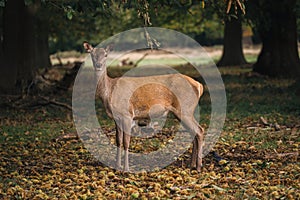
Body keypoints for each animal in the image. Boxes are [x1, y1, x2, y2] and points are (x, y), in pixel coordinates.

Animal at [83, 41, 205, 172]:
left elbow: (126, 142)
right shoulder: (117, 118)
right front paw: (117, 166)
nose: (98, 65)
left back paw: (198, 166)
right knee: (194, 133)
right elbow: (118, 141)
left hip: (185, 109)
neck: (109, 92)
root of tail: (199, 85)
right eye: (92, 54)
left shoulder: (127, 114)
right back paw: (192, 165)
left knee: (199, 130)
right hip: (184, 111)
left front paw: (126, 169)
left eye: (105, 55)